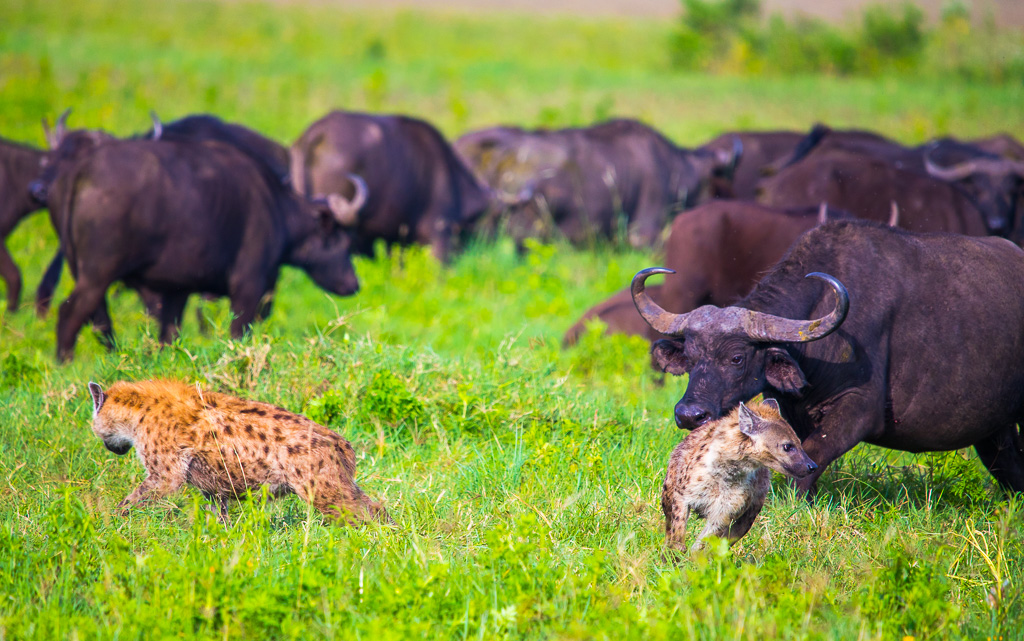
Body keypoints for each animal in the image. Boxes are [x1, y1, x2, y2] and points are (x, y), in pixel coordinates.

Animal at [46, 136, 364, 360]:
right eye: (341, 241)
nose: (354, 284)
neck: (276, 208)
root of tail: (81, 170)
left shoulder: (177, 290)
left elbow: (169, 334)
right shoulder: (249, 285)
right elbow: (239, 332)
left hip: (82, 271)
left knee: (99, 319)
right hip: (98, 274)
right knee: (70, 313)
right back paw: (65, 362)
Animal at [630, 219, 1024, 493]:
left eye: (737, 358)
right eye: (692, 356)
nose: (689, 414)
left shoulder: (860, 410)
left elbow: (811, 457)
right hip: (996, 430)